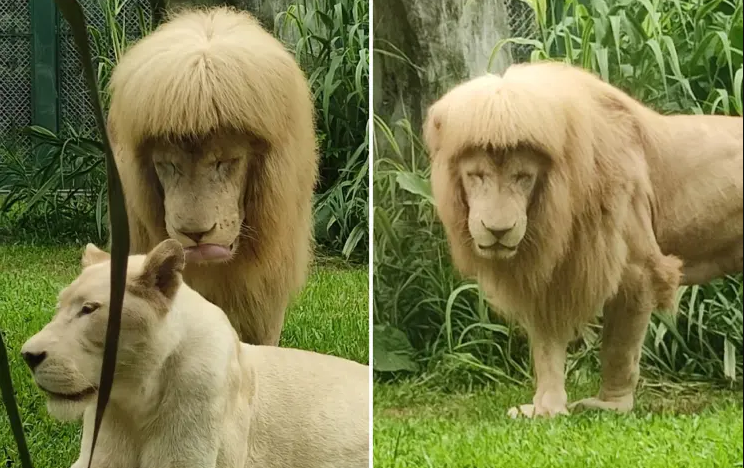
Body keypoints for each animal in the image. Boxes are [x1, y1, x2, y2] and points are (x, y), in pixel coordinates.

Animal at [424, 61, 744, 416]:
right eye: (476, 176)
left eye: (523, 177)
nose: (498, 230)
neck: (557, 204)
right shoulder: (547, 277)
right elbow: (546, 350)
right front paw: (544, 408)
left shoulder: (637, 270)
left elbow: (618, 349)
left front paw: (610, 405)